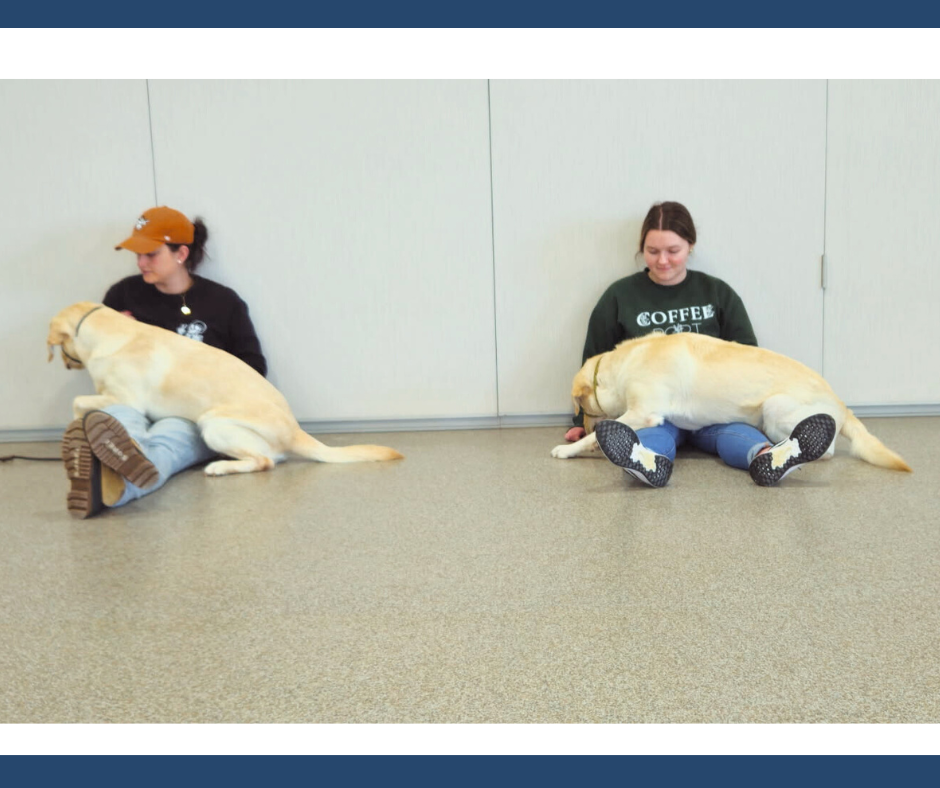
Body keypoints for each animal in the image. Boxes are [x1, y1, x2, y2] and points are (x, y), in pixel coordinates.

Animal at [48, 302, 404, 478]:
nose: (63, 363)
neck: (109, 333)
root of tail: (296, 431)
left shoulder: (127, 400)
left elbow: (78, 401)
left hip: (214, 423)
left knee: (264, 462)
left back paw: (221, 467)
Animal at [552, 330, 912, 484]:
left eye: (581, 405)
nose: (578, 425)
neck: (625, 363)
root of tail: (841, 402)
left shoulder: (644, 413)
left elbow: (596, 436)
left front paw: (569, 449)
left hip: (775, 409)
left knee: (827, 448)